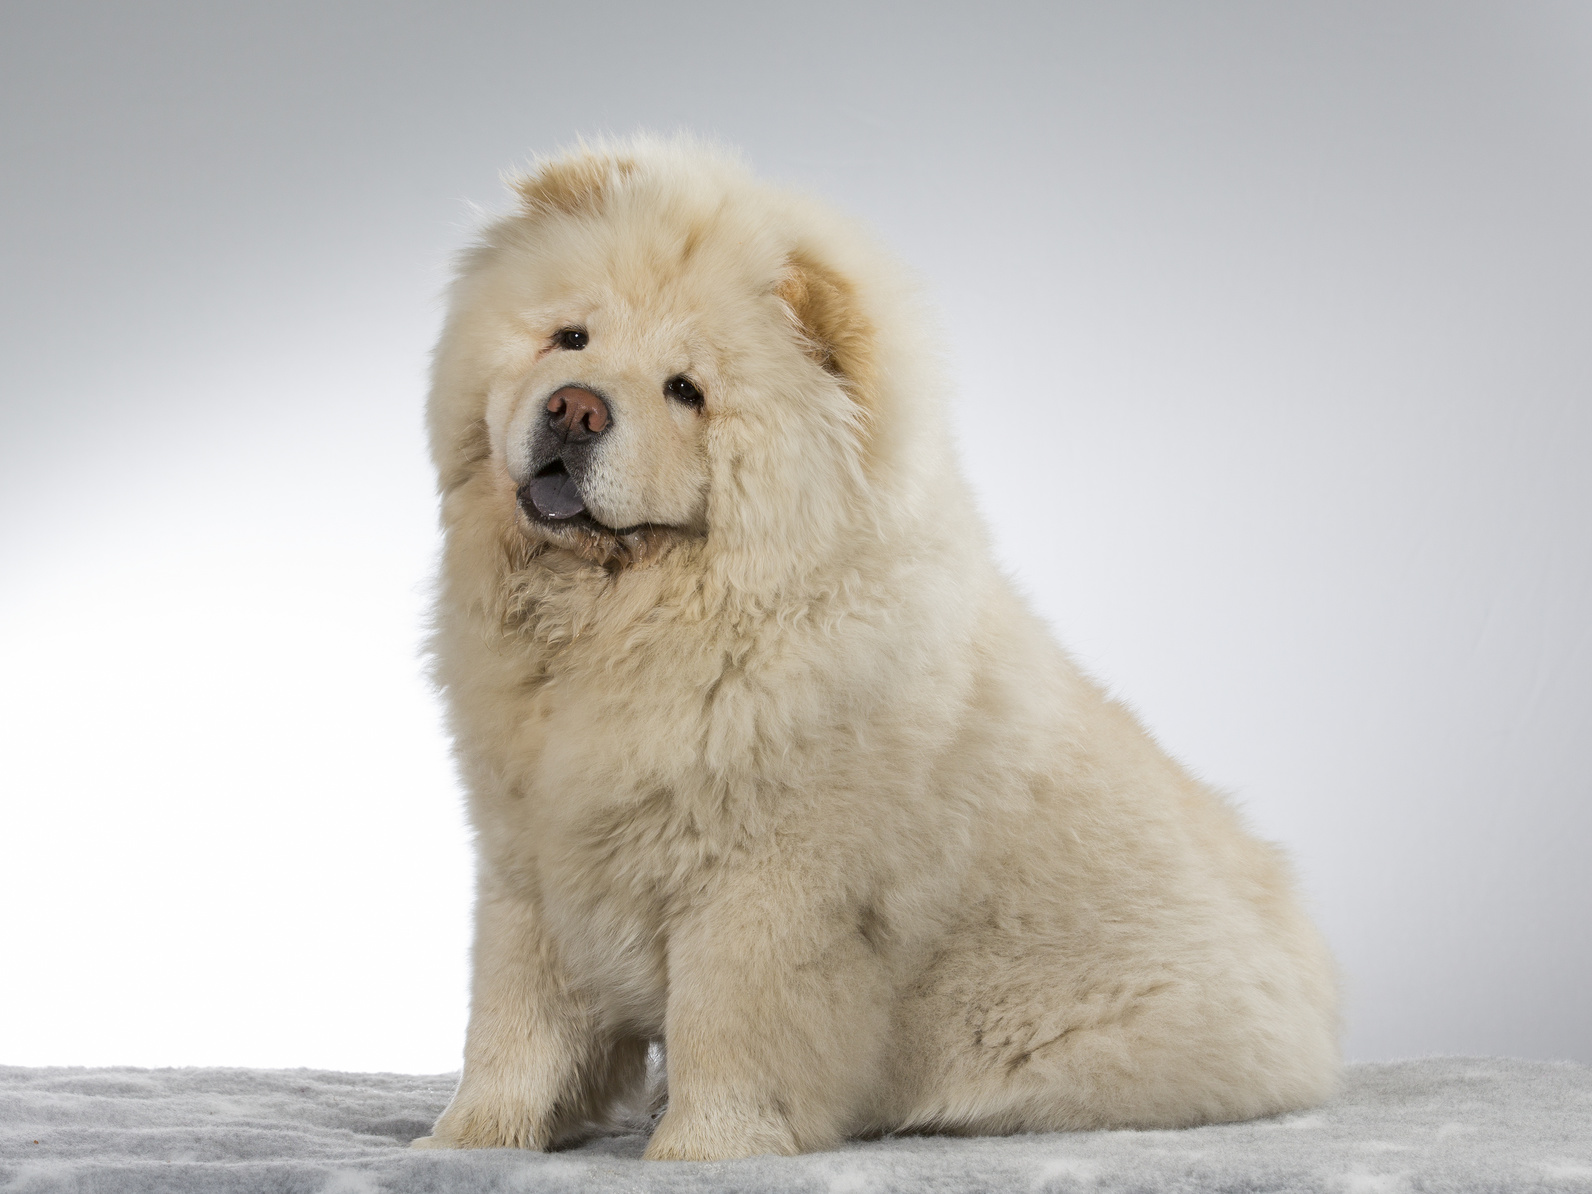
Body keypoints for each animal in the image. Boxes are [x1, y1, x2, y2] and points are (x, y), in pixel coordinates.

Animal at [417, 137, 1337, 1158]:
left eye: (687, 391)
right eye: (571, 339)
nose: (575, 408)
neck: (614, 629)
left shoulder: (765, 889)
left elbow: (723, 1032)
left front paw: (701, 1148)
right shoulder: (527, 861)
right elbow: (513, 1024)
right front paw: (468, 1139)